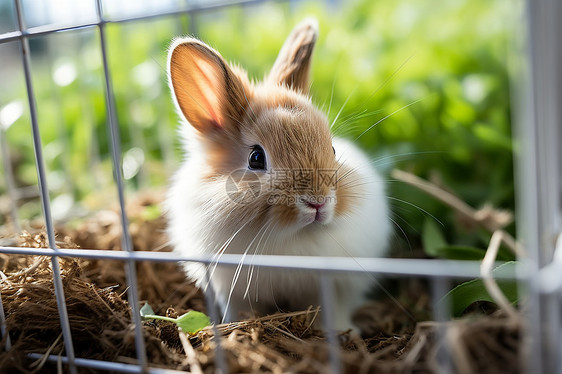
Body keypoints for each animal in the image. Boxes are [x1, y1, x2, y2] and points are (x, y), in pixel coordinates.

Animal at [164, 18, 388, 330]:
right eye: (256, 158)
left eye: (332, 149)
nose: (318, 202)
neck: (289, 240)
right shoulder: (232, 291)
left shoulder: (335, 288)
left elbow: (334, 312)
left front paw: (341, 331)